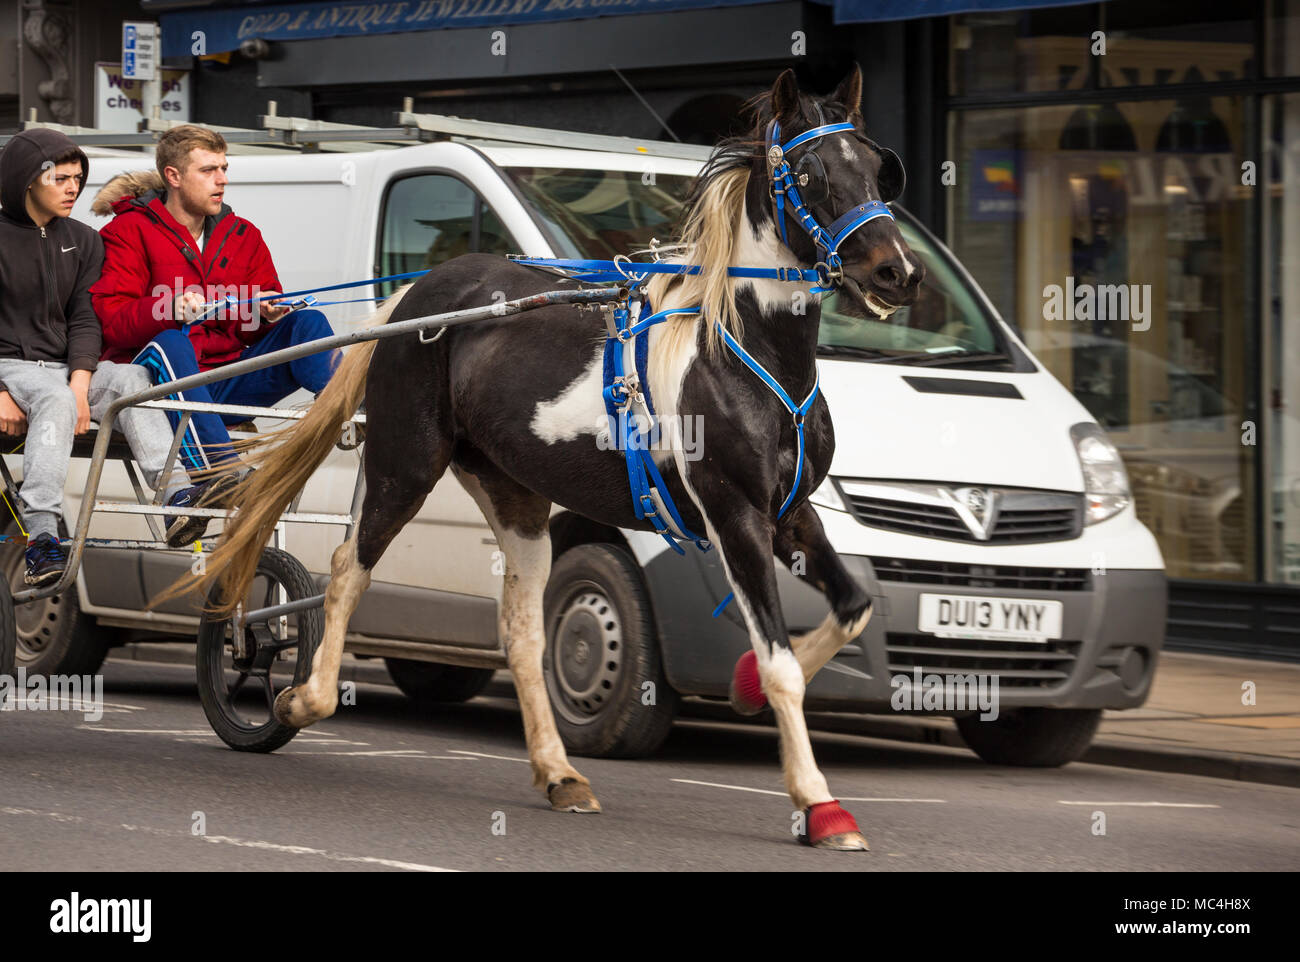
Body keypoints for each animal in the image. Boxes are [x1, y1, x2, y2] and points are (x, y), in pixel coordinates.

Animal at [189, 65, 925, 847]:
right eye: (810, 174)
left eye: (877, 166)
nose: (898, 272)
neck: (741, 351)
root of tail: (419, 294)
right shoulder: (735, 515)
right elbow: (783, 662)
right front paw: (819, 804)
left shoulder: (791, 512)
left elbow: (852, 608)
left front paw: (745, 689)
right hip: (403, 466)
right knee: (346, 570)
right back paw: (303, 699)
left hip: (517, 500)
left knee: (520, 633)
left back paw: (559, 772)